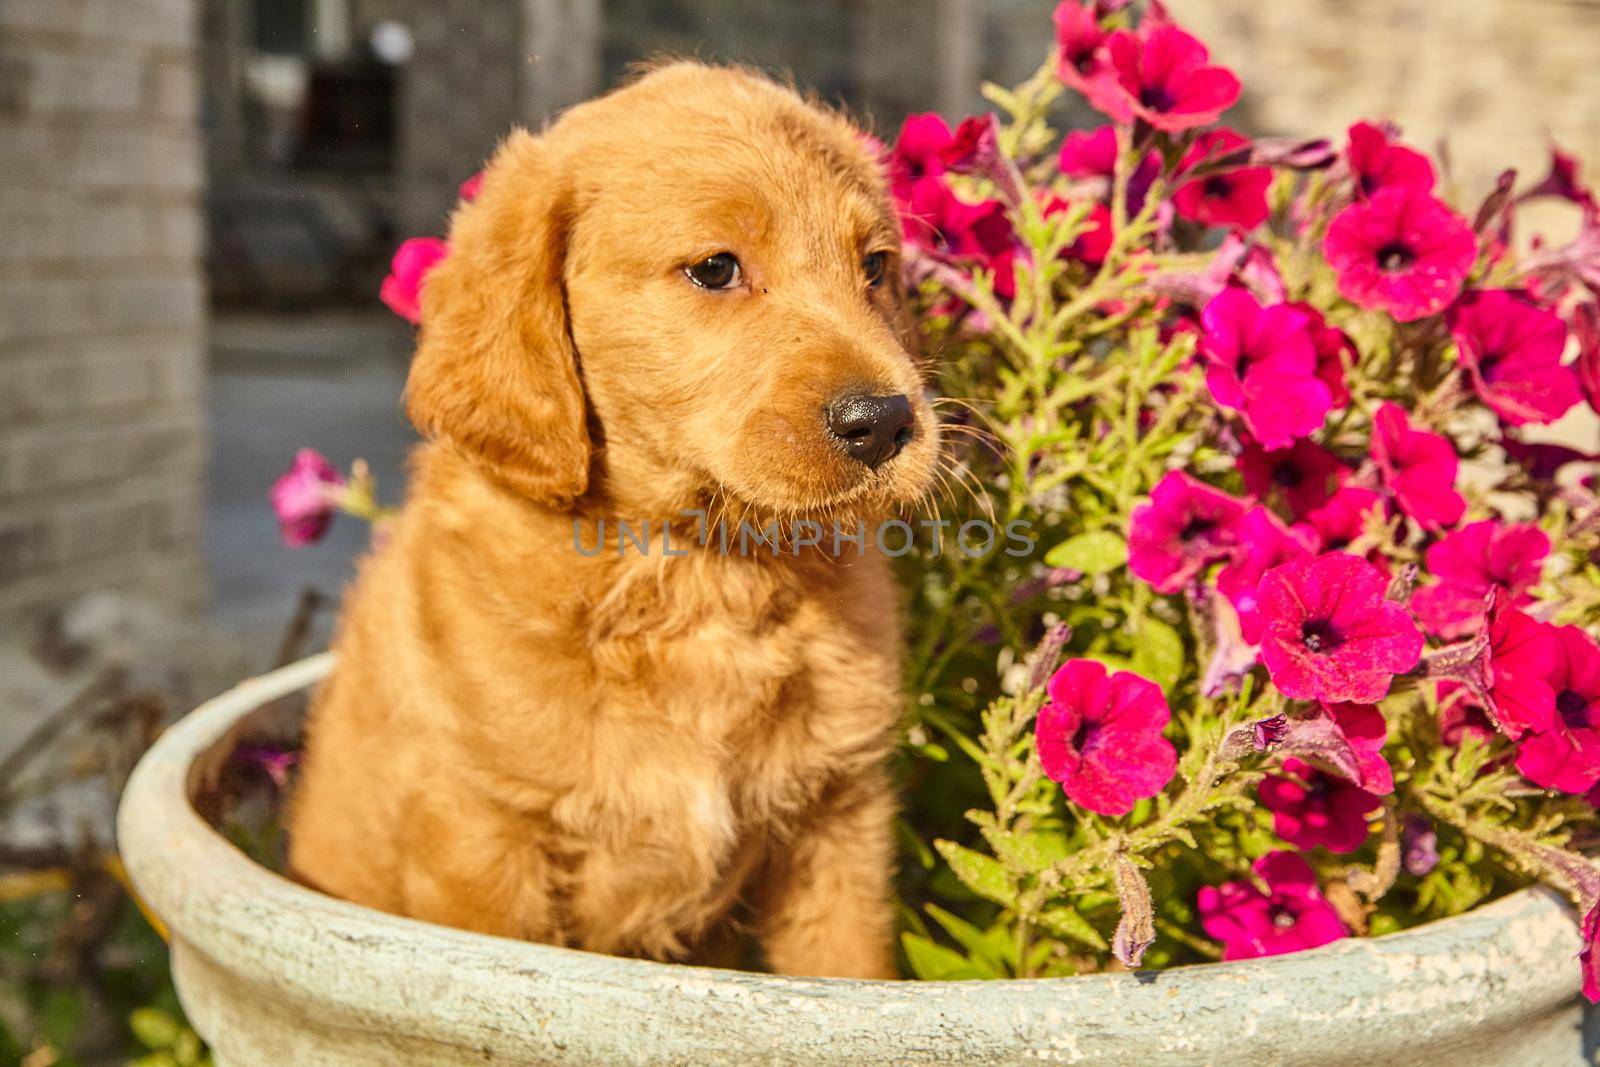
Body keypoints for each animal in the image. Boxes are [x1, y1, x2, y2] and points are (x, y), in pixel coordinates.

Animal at [288, 56, 934, 979]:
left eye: (875, 266)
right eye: (715, 269)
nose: (883, 420)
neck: (698, 574)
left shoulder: (837, 816)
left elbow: (847, 967)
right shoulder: (483, 838)